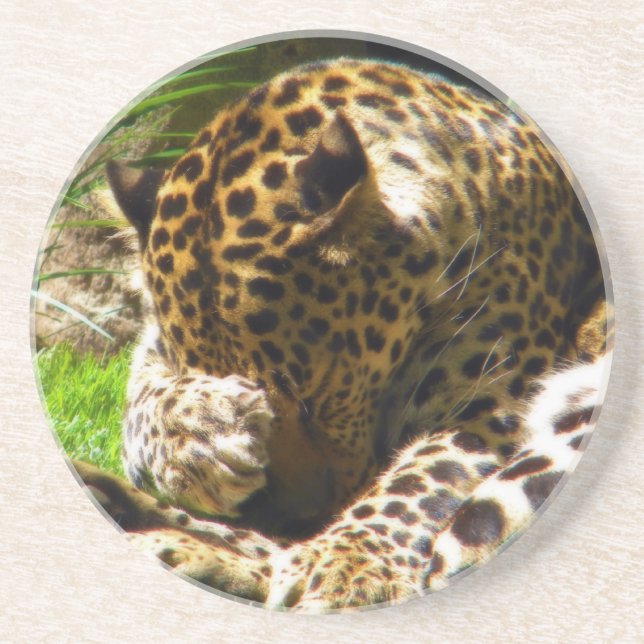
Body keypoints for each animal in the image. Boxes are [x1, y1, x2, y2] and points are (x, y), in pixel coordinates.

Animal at [81, 57, 610, 611]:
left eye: (317, 395)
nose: (293, 519)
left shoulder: (491, 402)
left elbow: (419, 478)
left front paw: (349, 563)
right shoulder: (150, 349)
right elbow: (142, 401)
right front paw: (203, 433)